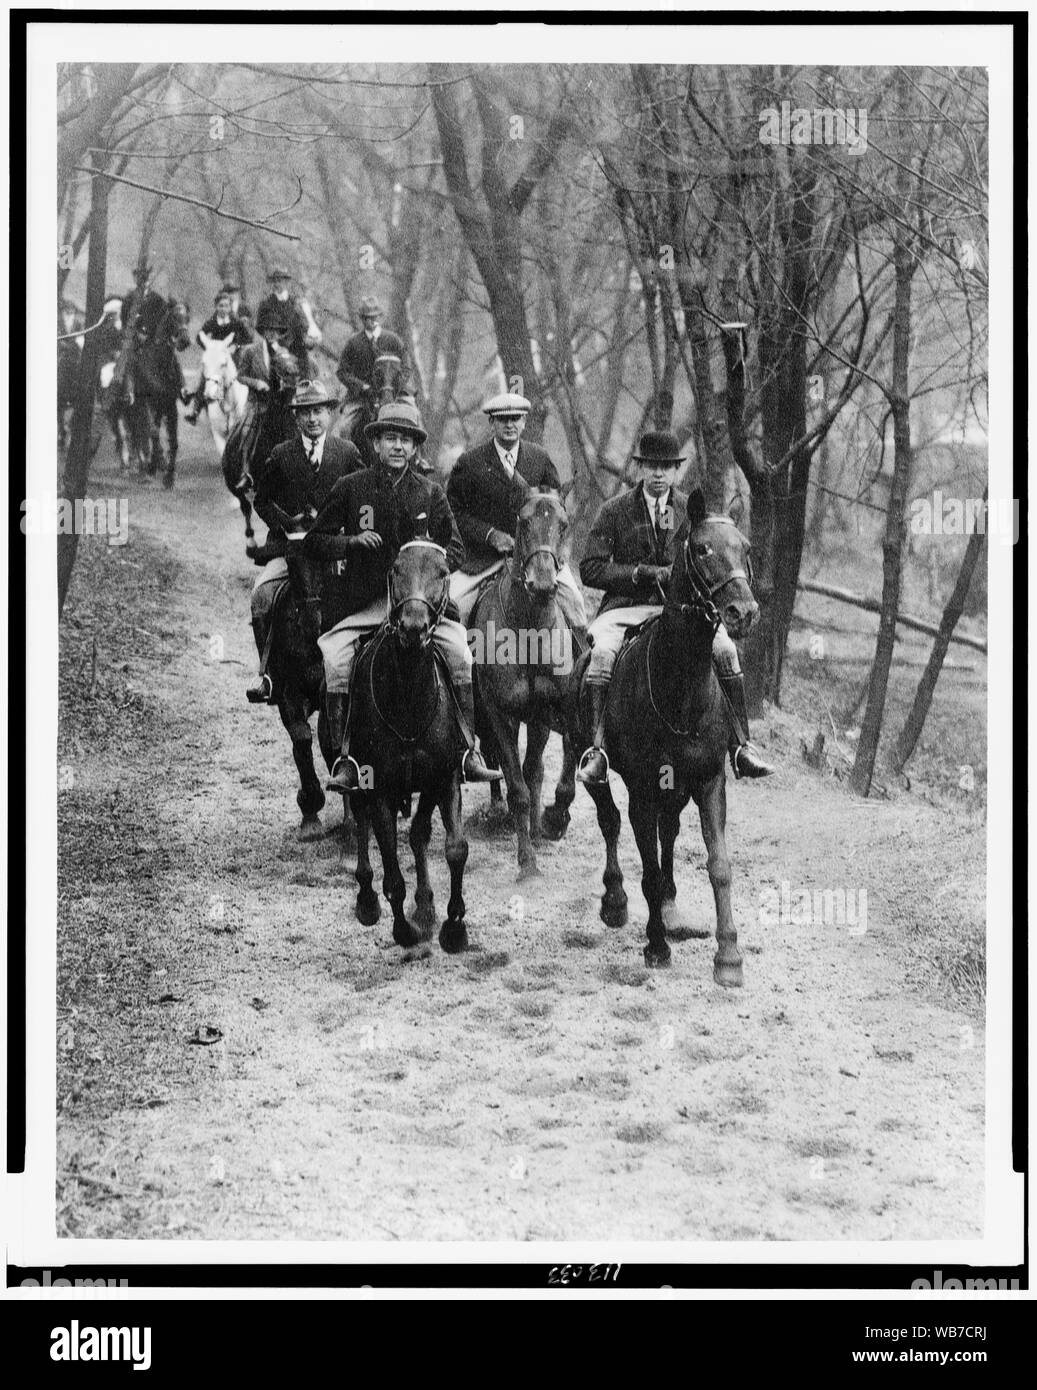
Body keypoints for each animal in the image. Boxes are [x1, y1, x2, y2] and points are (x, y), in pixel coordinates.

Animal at [219, 344, 297, 556]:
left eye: (295, 361)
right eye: (276, 362)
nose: (291, 383)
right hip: (233, 483)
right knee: (245, 507)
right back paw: (251, 543)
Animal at [343, 539, 469, 956]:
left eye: (443, 572)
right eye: (396, 569)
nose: (414, 627)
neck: (410, 698)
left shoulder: (443, 778)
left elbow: (453, 848)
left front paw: (452, 927)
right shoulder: (380, 789)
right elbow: (393, 877)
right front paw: (405, 932)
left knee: (417, 835)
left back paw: (426, 907)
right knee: (360, 823)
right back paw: (367, 901)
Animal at [464, 489, 578, 878]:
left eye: (564, 524)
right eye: (523, 521)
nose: (542, 584)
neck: (528, 627)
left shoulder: (549, 710)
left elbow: (544, 774)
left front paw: (549, 824)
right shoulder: (501, 715)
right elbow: (517, 787)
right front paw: (527, 863)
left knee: (536, 771)